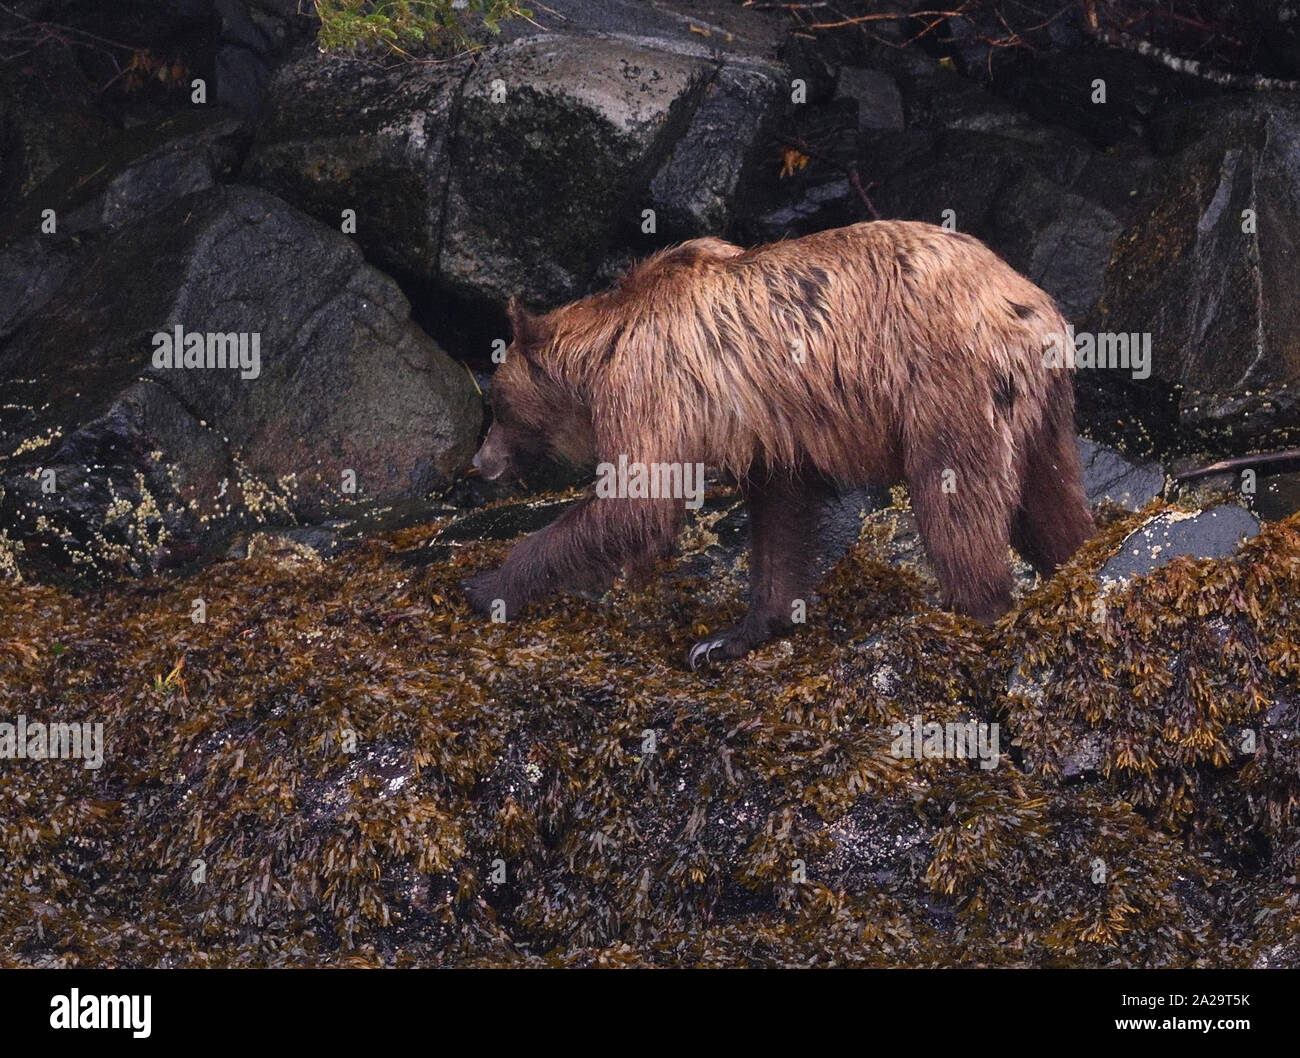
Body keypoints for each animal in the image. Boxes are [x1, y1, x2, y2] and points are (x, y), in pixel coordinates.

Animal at [462, 222, 1092, 670]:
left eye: (497, 407)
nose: (479, 464)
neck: (602, 351)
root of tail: (1027, 305)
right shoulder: (767, 429)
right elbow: (779, 514)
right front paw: (730, 637)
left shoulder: (650, 385)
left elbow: (635, 502)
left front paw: (488, 585)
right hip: (1042, 411)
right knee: (1050, 500)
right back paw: (1074, 562)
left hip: (946, 385)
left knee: (956, 500)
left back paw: (971, 611)